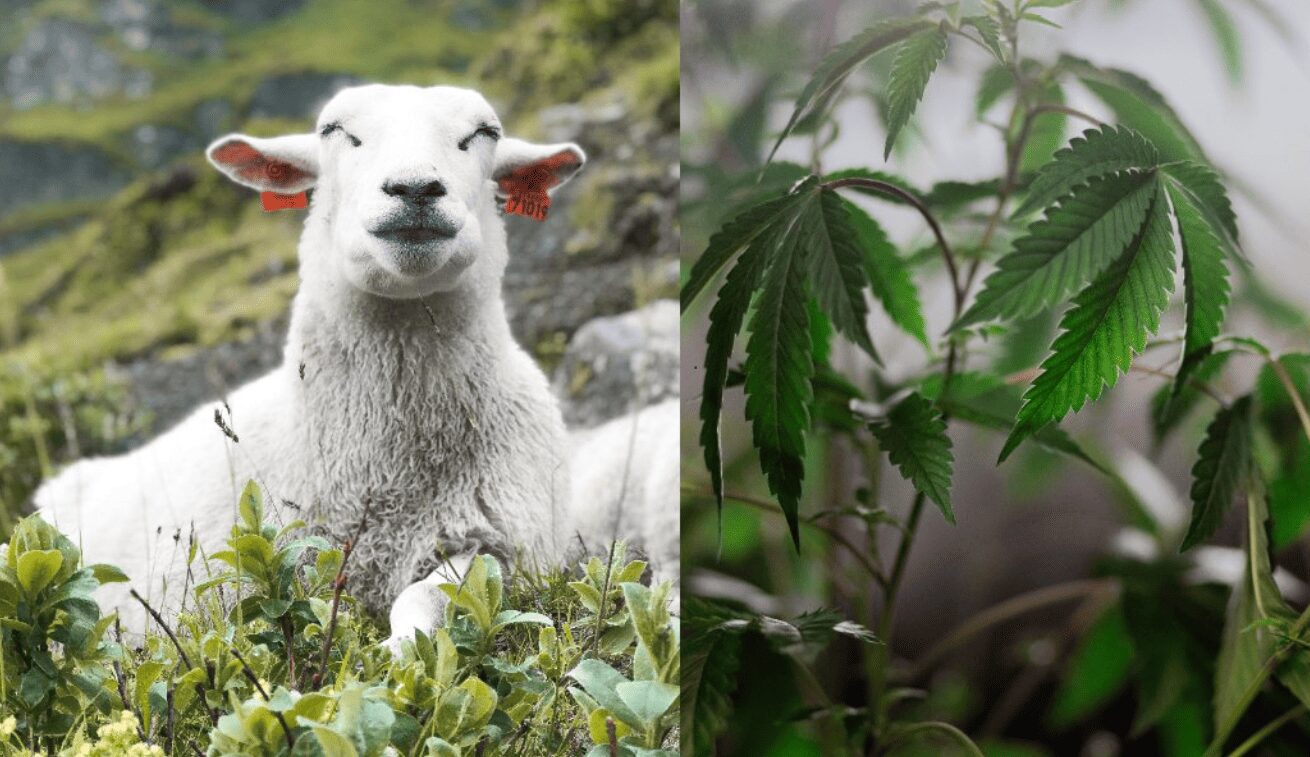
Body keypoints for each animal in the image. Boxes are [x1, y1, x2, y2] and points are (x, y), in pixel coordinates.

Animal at [32, 84, 591, 640]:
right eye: (336, 131)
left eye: (483, 133)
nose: (415, 189)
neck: (385, 470)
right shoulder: (245, 570)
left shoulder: (503, 546)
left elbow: (428, 598)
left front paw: (398, 647)